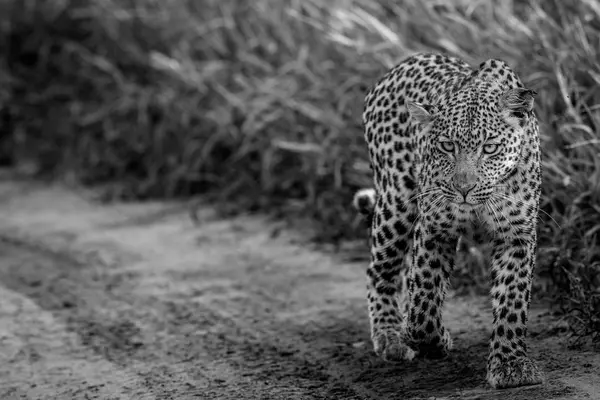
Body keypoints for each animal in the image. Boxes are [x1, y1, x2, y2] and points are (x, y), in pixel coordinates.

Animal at [356, 51, 544, 390]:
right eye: (446, 146)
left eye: (490, 148)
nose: (463, 188)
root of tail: (399, 65)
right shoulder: (433, 228)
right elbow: (423, 302)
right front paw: (432, 341)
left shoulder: (517, 234)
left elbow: (512, 301)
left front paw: (510, 365)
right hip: (396, 202)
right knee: (380, 269)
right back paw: (391, 337)